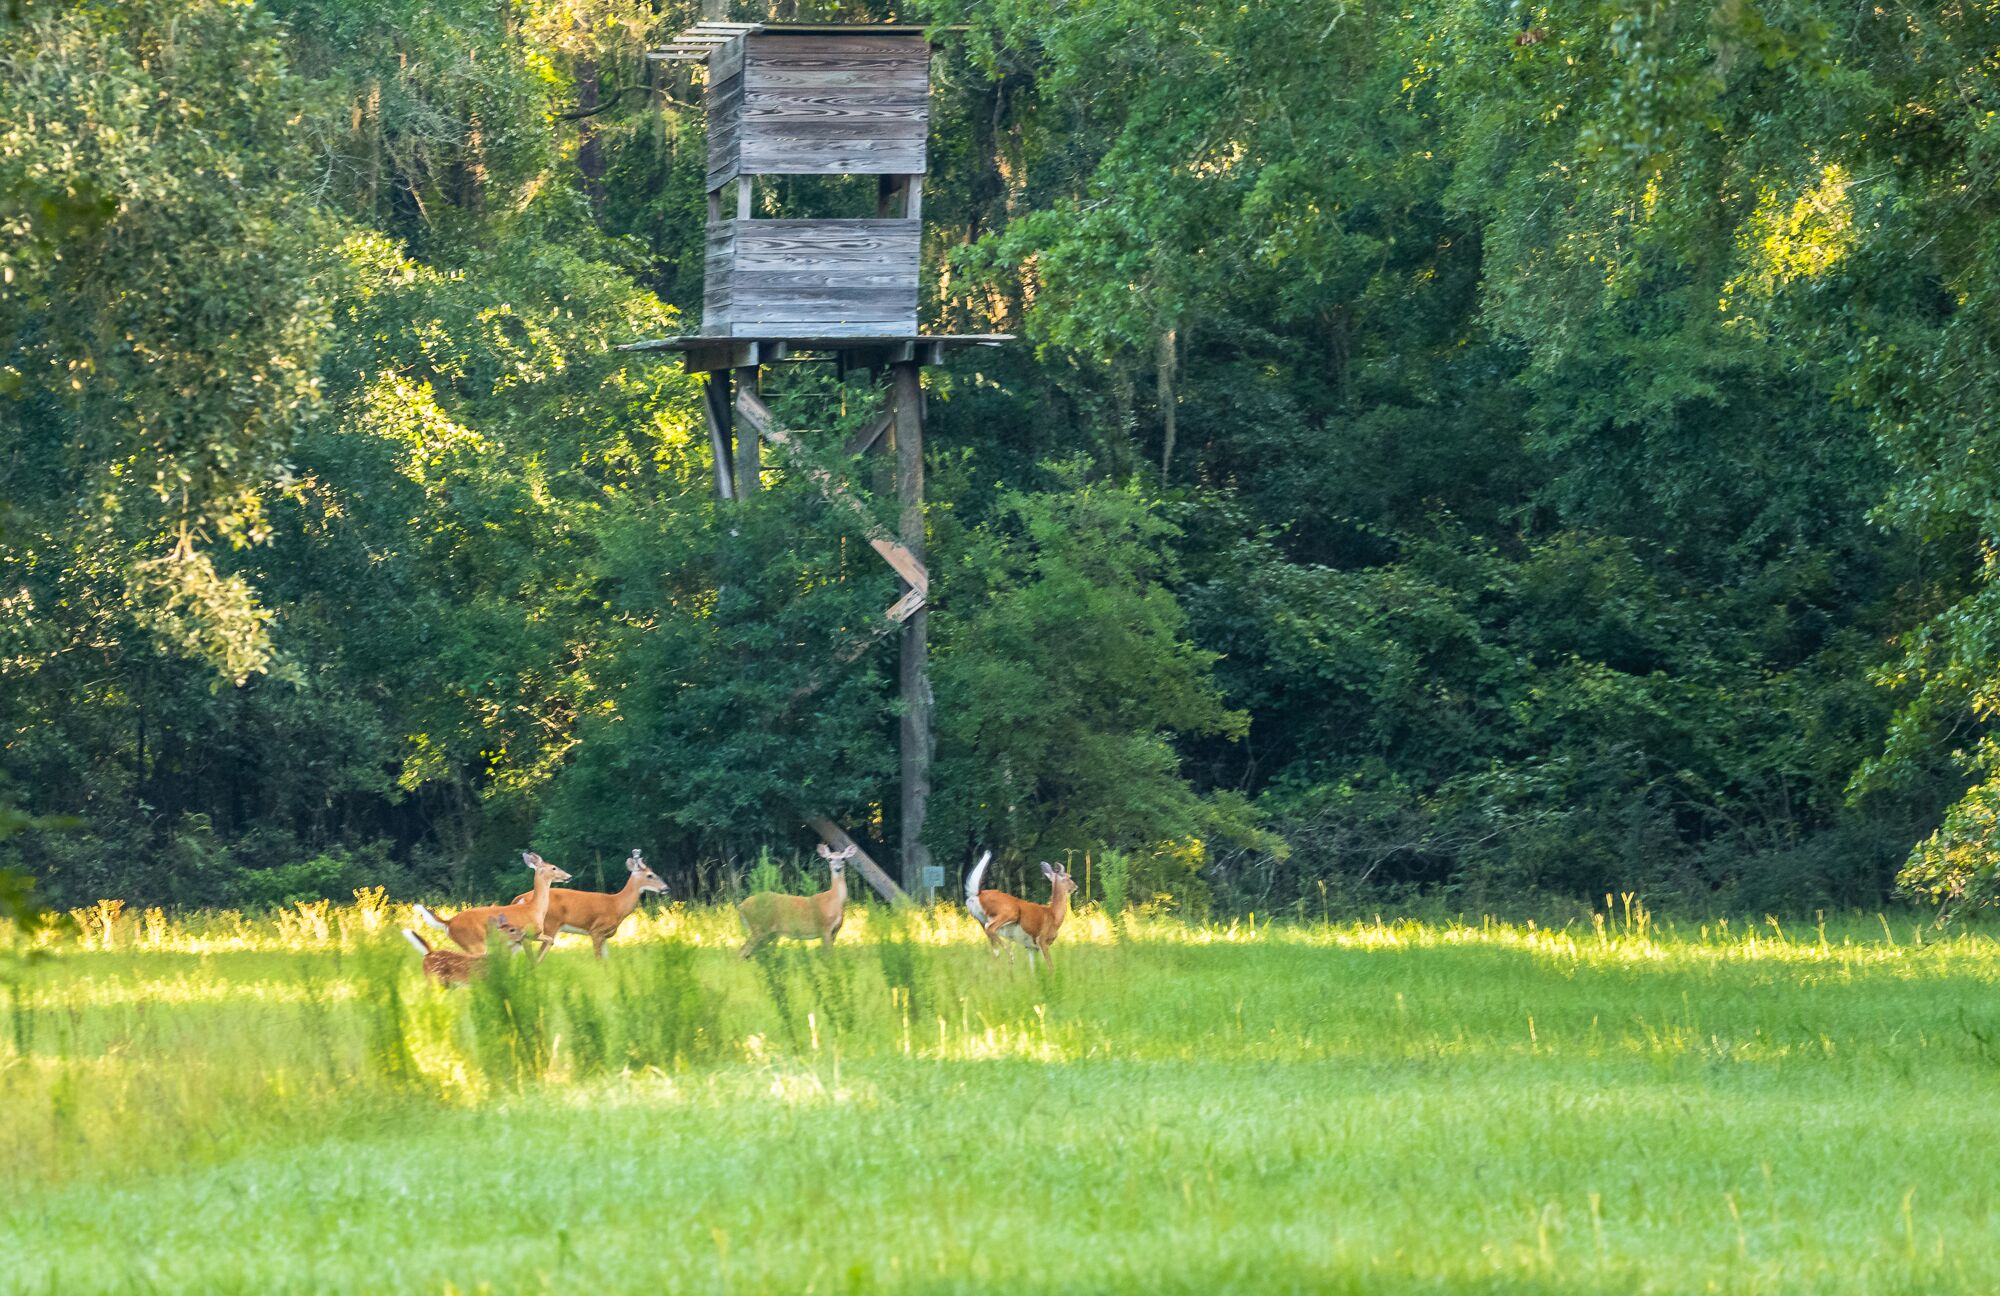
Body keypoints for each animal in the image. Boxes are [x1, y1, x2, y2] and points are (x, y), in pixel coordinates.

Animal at [412, 856, 576, 956]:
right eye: (554, 868)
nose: (569, 876)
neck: (534, 909)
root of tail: (449, 922)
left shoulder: (514, 943)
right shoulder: (531, 934)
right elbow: (549, 940)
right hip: (474, 943)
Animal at [508, 844, 672, 956]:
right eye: (650, 875)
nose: (666, 888)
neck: (617, 904)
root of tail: (520, 898)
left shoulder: (605, 936)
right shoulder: (596, 930)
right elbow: (599, 960)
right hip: (549, 925)